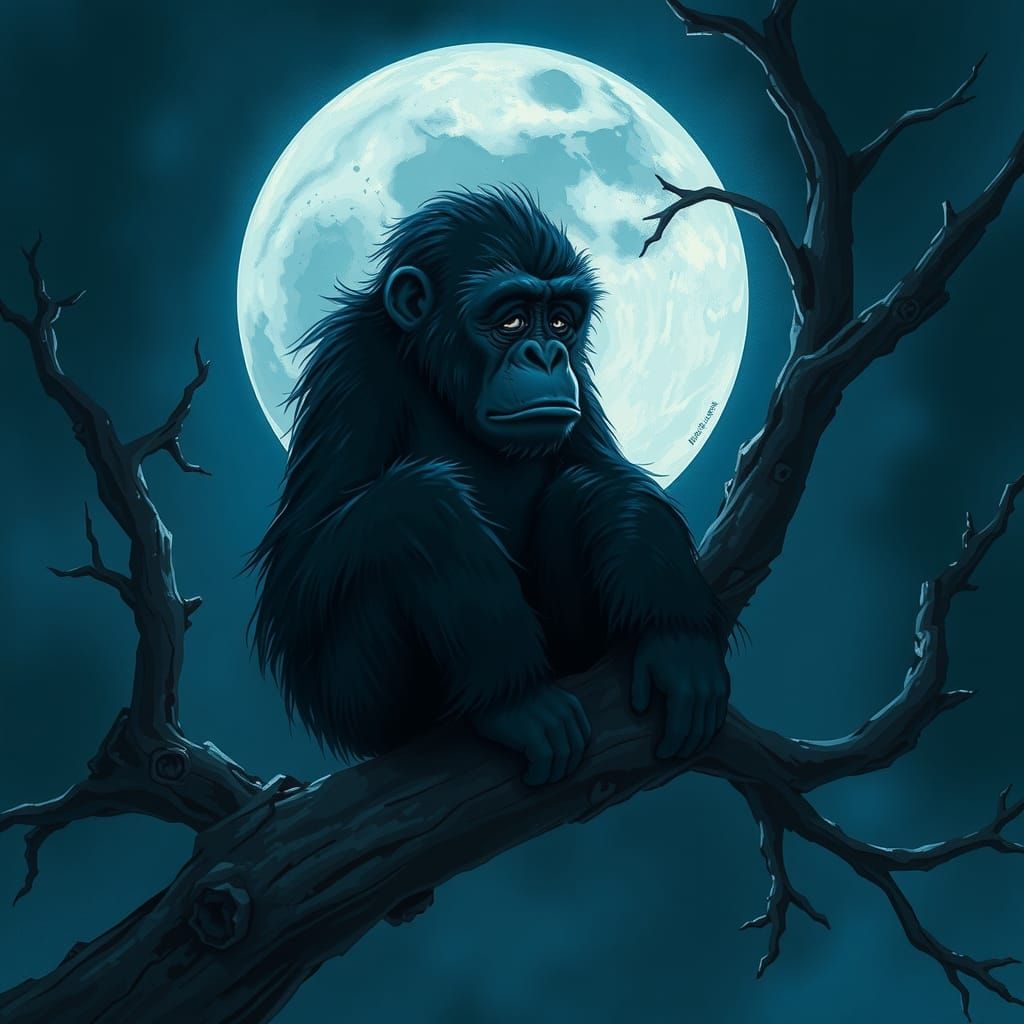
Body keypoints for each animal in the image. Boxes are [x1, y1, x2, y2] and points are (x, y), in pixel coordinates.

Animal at [249, 185, 730, 787]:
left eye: (562, 322)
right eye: (513, 321)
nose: (545, 354)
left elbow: (610, 472)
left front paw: (677, 639)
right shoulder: (352, 368)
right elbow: (301, 570)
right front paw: (515, 698)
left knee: (582, 489)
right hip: (369, 701)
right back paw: (513, 702)